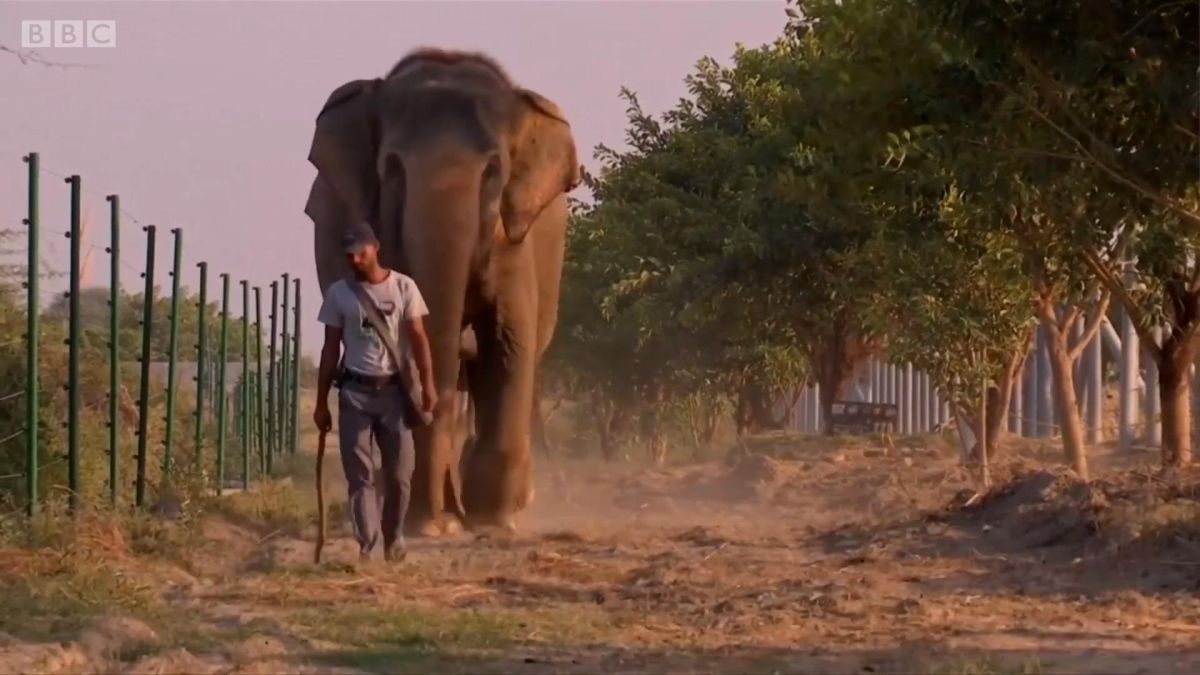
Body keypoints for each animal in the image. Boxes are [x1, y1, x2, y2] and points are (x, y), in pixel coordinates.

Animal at [303, 47, 582, 537]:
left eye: (494, 172)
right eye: (392, 170)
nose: (436, 519)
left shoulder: (514, 242)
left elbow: (508, 343)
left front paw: (492, 522)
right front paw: (432, 524)